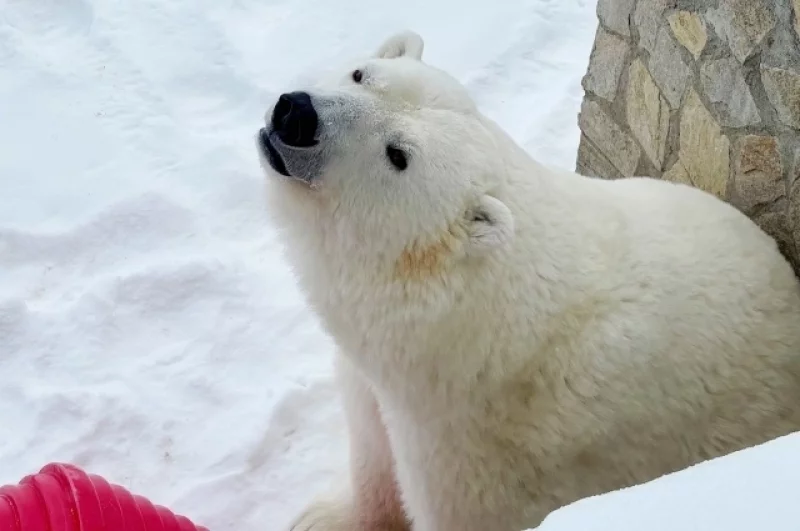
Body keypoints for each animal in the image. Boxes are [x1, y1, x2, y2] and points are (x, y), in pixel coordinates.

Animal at [255, 32, 800, 531]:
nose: (296, 115)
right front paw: (321, 517)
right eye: (360, 74)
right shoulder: (384, 385)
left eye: (397, 155)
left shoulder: (478, 451)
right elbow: (370, 440)